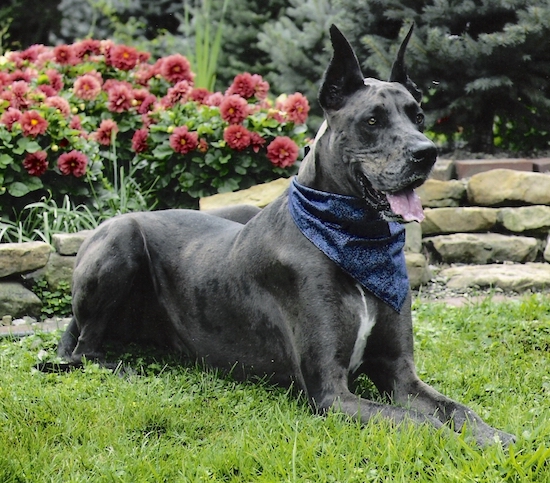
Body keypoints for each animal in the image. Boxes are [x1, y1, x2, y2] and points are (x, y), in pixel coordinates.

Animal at [58, 25, 516, 446]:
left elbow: (454, 408)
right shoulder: (330, 393)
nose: (427, 153)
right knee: (84, 353)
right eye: (372, 120)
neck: (352, 237)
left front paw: (492, 434)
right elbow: (419, 422)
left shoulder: (400, 374)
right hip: (121, 238)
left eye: (418, 116)